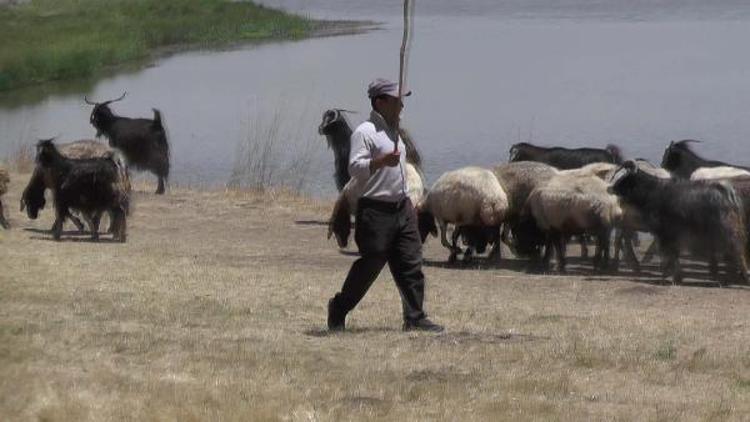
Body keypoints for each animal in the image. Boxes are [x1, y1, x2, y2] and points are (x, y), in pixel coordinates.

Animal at [608, 160, 748, 286]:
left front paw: (670, 276)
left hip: (727, 231)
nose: (609, 188)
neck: (655, 191)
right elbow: (671, 253)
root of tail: (727, 193)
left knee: (737, 250)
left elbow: (669, 253)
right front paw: (675, 276)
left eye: (624, 177)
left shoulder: (666, 232)